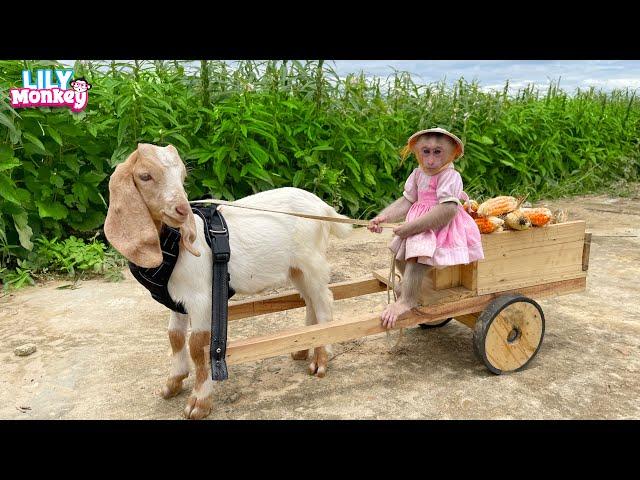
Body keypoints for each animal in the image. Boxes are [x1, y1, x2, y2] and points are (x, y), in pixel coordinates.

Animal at [107, 144, 352, 418]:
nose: (182, 210)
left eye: (183, 176)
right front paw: (171, 384)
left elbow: (198, 346)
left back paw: (320, 360)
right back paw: (301, 348)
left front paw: (199, 403)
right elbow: (175, 336)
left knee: (324, 301)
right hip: (296, 269)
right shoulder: (176, 300)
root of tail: (324, 208)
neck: (172, 247)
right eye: (145, 176)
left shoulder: (202, 299)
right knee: (310, 300)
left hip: (312, 261)